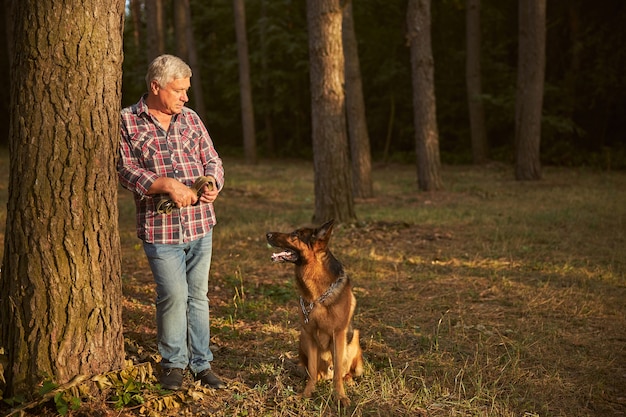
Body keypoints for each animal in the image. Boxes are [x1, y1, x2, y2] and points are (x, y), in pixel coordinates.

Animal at [266, 218, 364, 404]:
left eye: (295, 234)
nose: (267, 234)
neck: (317, 296)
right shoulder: (310, 334)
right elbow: (311, 370)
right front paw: (307, 393)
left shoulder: (338, 334)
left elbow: (338, 372)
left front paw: (340, 397)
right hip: (303, 337)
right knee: (314, 372)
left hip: (354, 339)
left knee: (346, 372)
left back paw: (348, 381)